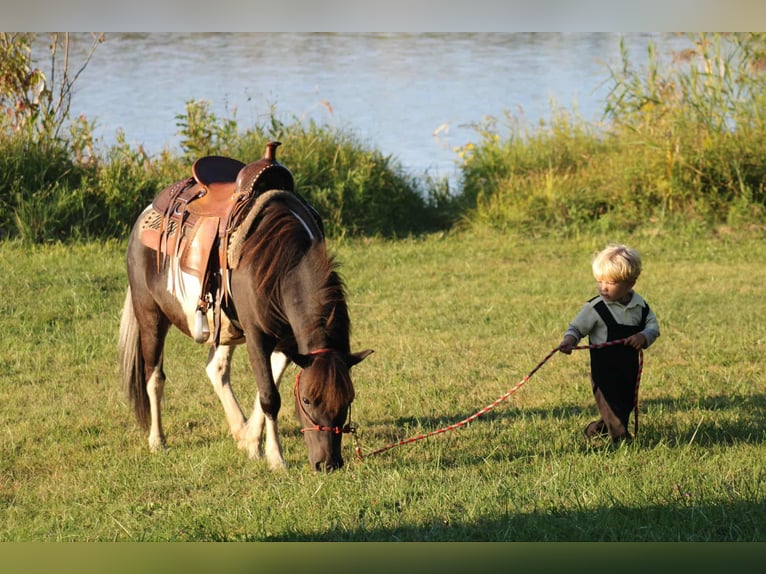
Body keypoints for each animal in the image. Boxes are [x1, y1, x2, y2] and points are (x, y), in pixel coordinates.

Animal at [118, 142, 372, 471]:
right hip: (150, 315)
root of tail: (146, 214)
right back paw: (157, 440)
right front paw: (276, 458)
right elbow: (269, 397)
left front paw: (251, 441)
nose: (328, 464)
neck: (280, 265)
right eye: (307, 400)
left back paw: (238, 430)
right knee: (154, 377)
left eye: (348, 400)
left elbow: (266, 389)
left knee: (215, 368)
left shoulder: (286, 341)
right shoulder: (256, 335)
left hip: (224, 327)